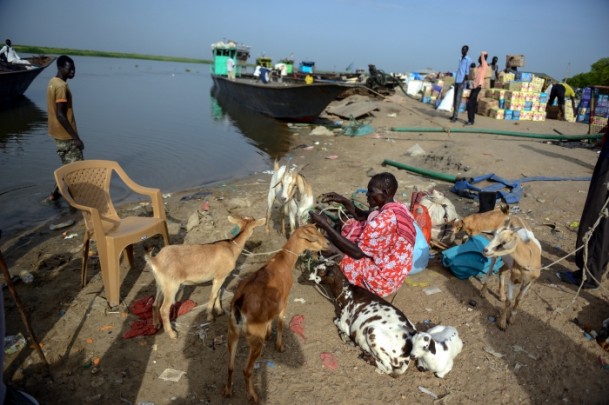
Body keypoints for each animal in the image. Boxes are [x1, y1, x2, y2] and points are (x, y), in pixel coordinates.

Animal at [223, 223, 328, 402]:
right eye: (312, 238)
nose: (327, 244)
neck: (284, 261)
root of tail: (239, 304)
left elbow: (271, 319)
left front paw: (268, 334)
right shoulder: (284, 299)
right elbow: (279, 321)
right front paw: (280, 345)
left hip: (232, 331)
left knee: (230, 365)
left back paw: (228, 391)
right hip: (254, 337)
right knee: (246, 369)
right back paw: (254, 396)